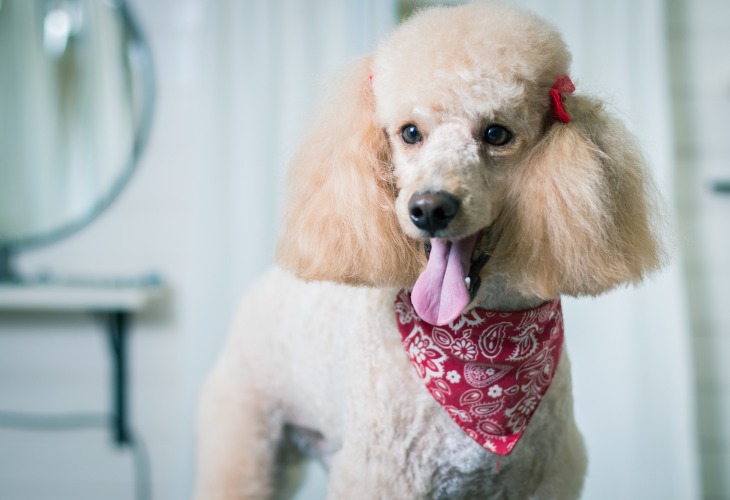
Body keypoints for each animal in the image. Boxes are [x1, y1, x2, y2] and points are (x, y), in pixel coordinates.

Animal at [193, 1, 660, 498]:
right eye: (410, 132)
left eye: (496, 133)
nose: (429, 208)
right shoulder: (383, 475)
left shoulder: (543, 480)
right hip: (246, 434)